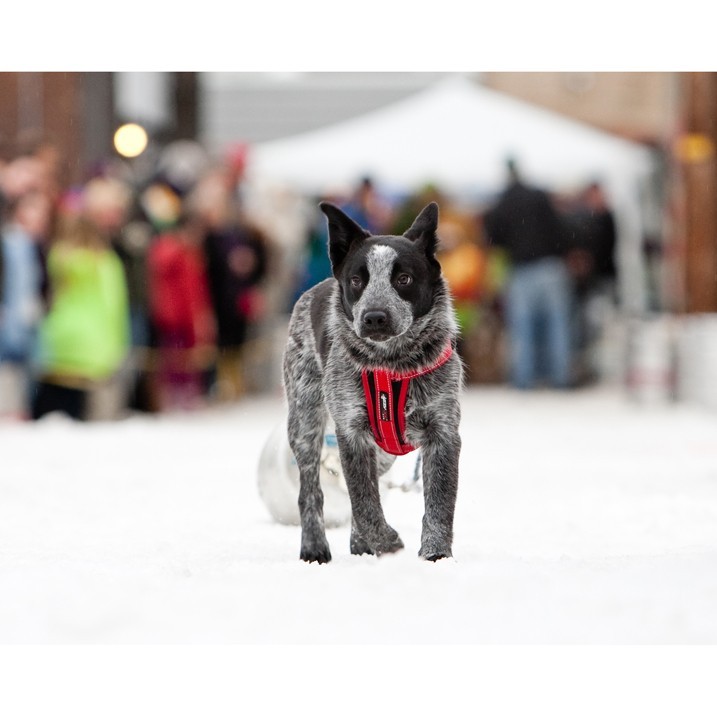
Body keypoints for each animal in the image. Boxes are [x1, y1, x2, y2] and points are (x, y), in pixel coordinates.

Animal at [282, 199, 462, 564]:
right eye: (356, 280)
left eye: (404, 278)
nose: (375, 317)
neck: (391, 364)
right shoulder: (352, 433)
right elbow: (364, 503)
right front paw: (388, 542)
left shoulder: (443, 432)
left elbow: (438, 504)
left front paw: (435, 556)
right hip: (305, 422)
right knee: (311, 490)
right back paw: (315, 547)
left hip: (383, 453)